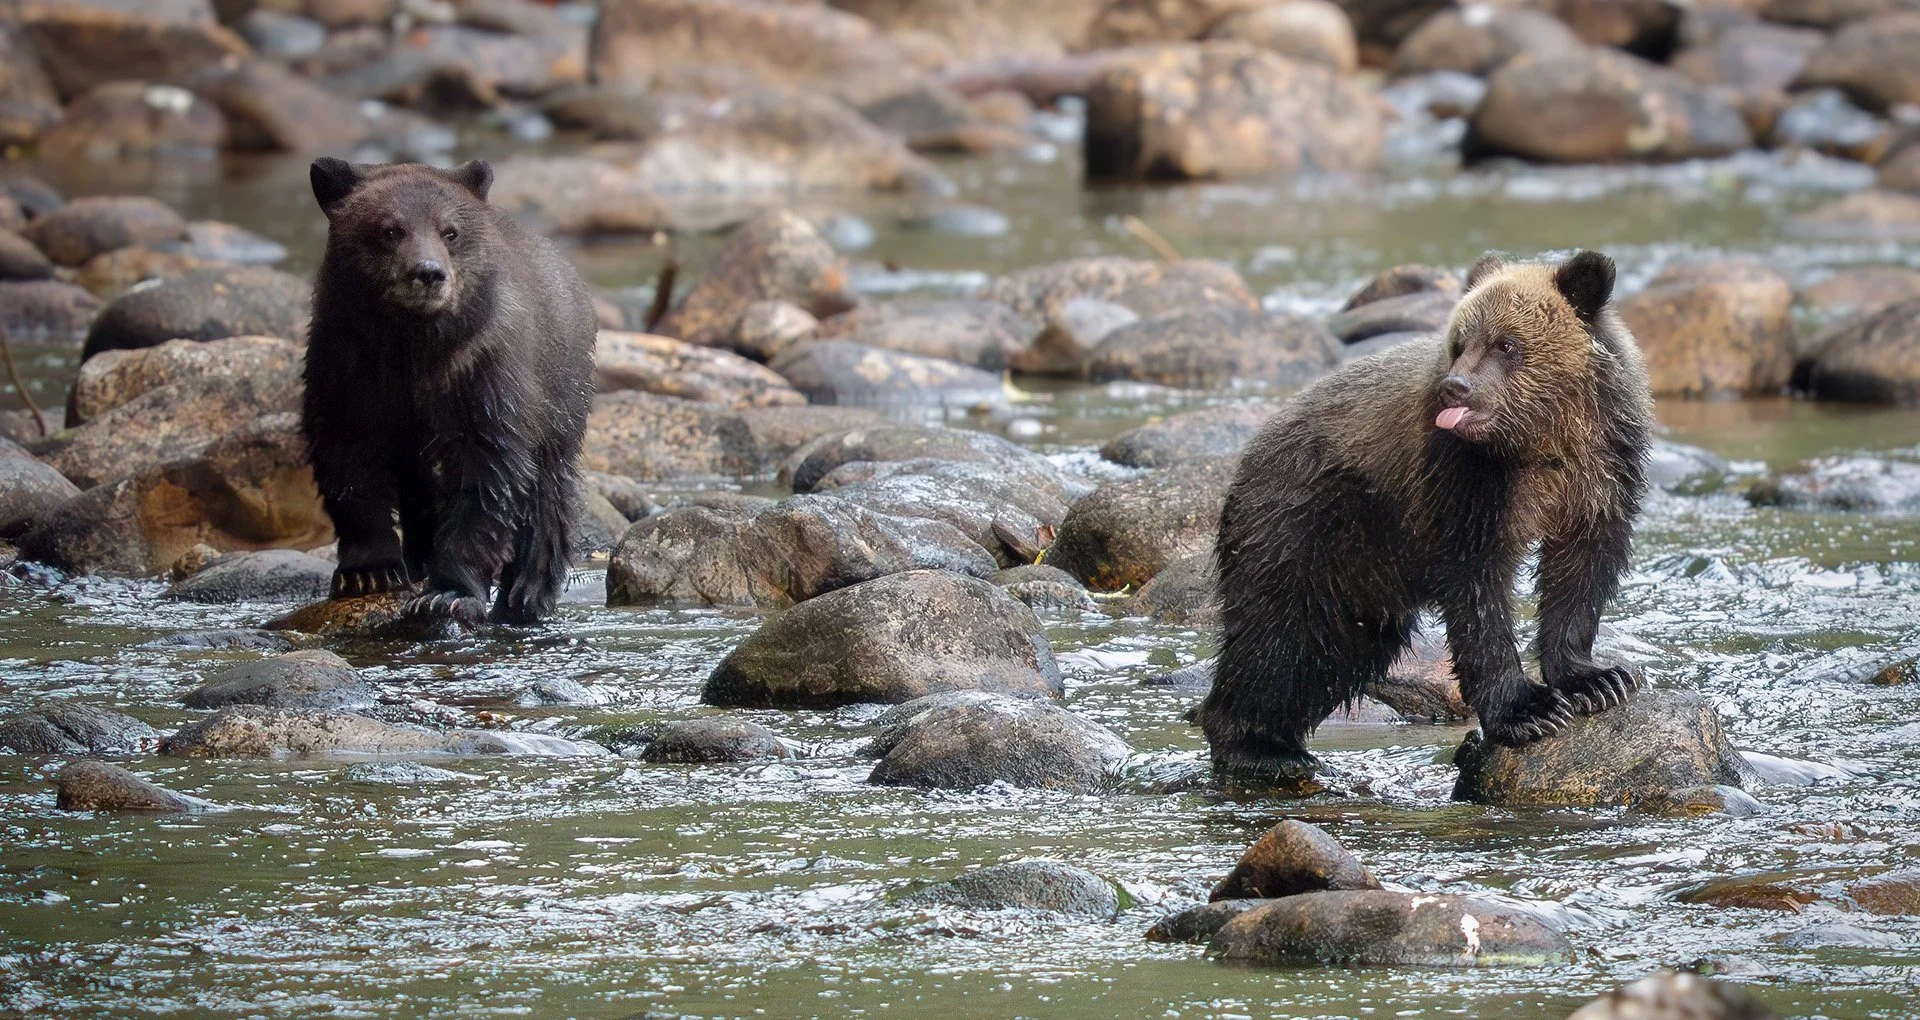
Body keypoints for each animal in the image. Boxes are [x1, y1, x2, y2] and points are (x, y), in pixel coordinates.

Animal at [302, 157, 596, 626]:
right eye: (390, 229)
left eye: (450, 232)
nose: (428, 273)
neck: (411, 343)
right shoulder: (347, 362)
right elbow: (346, 451)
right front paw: (368, 570)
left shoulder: (482, 372)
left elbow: (488, 469)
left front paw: (448, 591)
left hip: (560, 392)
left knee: (548, 486)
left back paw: (527, 591)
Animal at [1195, 250, 1654, 784]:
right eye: (1460, 343)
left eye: (1506, 343)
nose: (1457, 387)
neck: (1538, 444)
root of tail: (1249, 453)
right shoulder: (1465, 482)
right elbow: (1476, 588)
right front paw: (1527, 709)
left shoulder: (1601, 472)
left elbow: (1582, 570)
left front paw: (1597, 680)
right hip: (1304, 524)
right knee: (1277, 637)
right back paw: (1256, 746)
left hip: (1358, 571)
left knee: (1335, 650)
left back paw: (1281, 743)